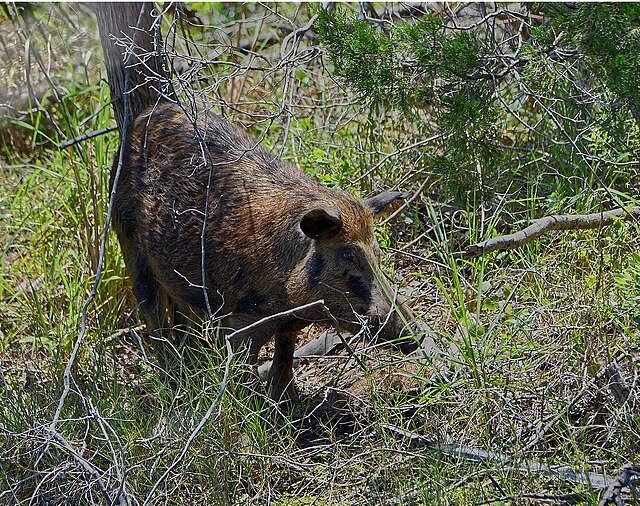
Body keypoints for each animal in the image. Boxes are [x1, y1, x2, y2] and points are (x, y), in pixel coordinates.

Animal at [111, 102, 419, 401]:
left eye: (377, 253)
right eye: (349, 255)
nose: (414, 335)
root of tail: (148, 113)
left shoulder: (290, 322)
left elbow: (285, 353)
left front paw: (290, 402)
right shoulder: (242, 319)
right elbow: (240, 371)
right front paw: (253, 411)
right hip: (126, 234)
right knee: (152, 313)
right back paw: (173, 381)